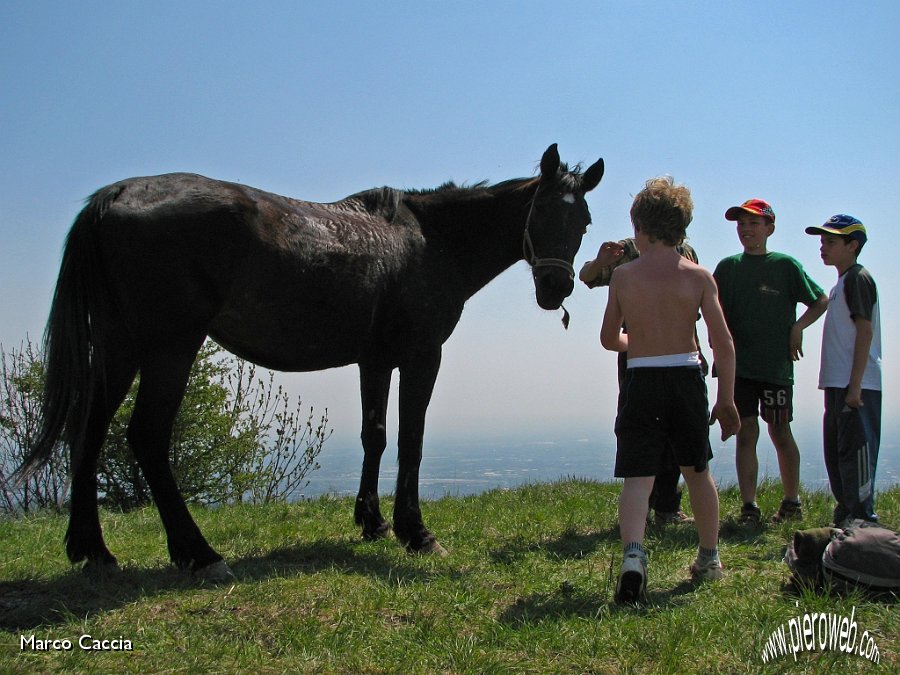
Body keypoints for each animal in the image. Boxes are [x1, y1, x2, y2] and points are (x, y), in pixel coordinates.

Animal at [19, 145, 604, 580]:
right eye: (541, 212)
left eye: (583, 220)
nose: (556, 288)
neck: (429, 242)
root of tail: (116, 194)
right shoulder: (421, 357)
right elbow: (410, 440)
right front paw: (416, 533)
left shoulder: (375, 361)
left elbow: (375, 435)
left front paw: (372, 522)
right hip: (169, 347)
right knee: (145, 435)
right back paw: (200, 554)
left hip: (118, 345)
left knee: (90, 430)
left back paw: (94, 550)